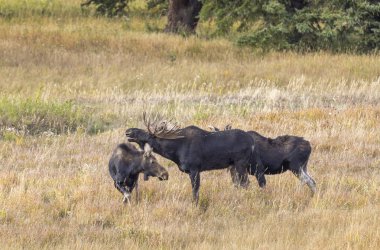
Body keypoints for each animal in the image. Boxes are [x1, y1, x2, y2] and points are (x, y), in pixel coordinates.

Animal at [125, 114, 255, 204]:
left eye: (146, 133)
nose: (128, 131)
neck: (175, 151)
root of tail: (251, 141)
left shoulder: (194, 169)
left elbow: (195, 191)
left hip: (240, 163)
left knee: (245, 183)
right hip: (233, 165)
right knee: (240, 183)